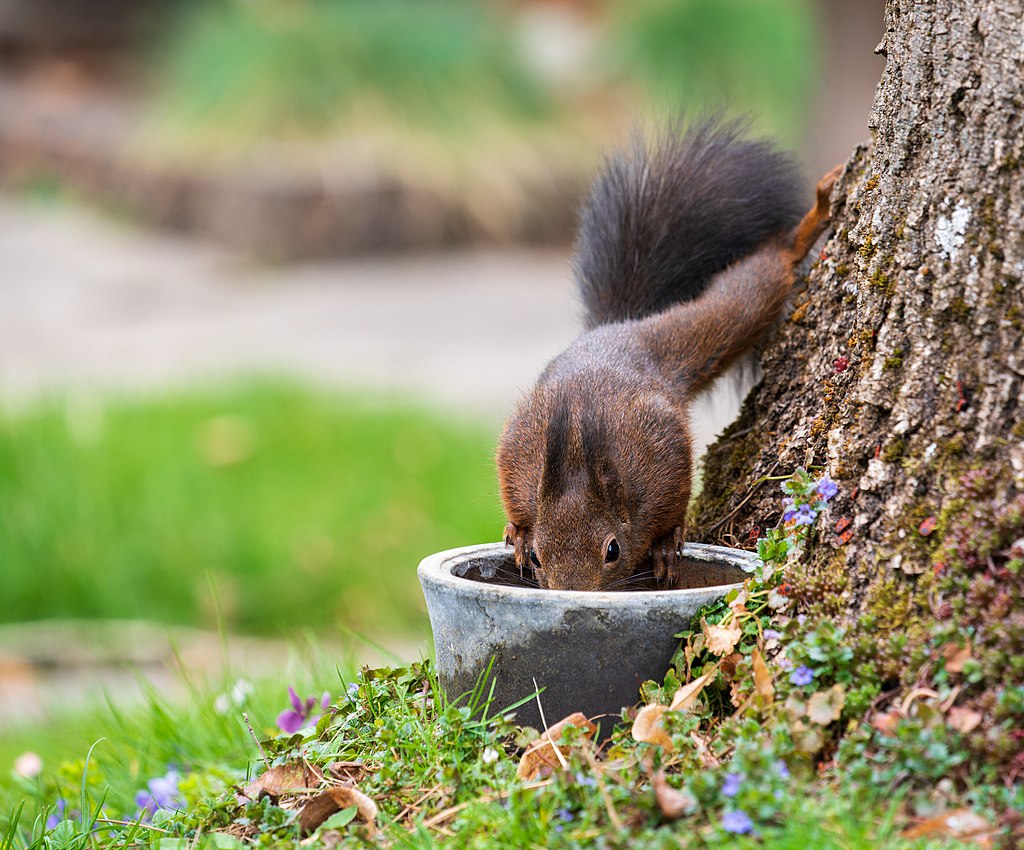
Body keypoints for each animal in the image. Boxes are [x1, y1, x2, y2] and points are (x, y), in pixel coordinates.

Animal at [495, 118, 839, 593]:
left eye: (612, 550)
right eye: (539, 558)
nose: (573, 594)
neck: (584, 458)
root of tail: (626, 329)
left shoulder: (662, 465)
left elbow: (673, 508)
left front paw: (664, 544)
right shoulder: (520, 463)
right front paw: (518, 534)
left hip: (715, 323)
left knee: (759, 281)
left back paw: (813, 218)